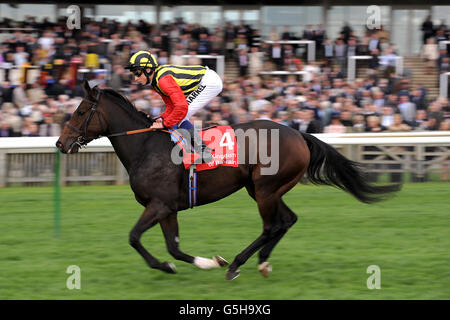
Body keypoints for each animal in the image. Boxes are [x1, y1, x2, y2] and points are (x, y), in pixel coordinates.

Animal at [56, 82, 400, 280]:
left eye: (82, 111)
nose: (61, 143)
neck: (146, 146)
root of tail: (298, 133)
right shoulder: (168, 208)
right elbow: (173, 247)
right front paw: (203, 262)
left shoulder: (159, 204)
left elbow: (134, 237)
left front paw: (201, 264)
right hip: (264, 188)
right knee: (287, 220)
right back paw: (261, 262)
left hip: (265, 189)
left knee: (271, 225)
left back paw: (237, 264)